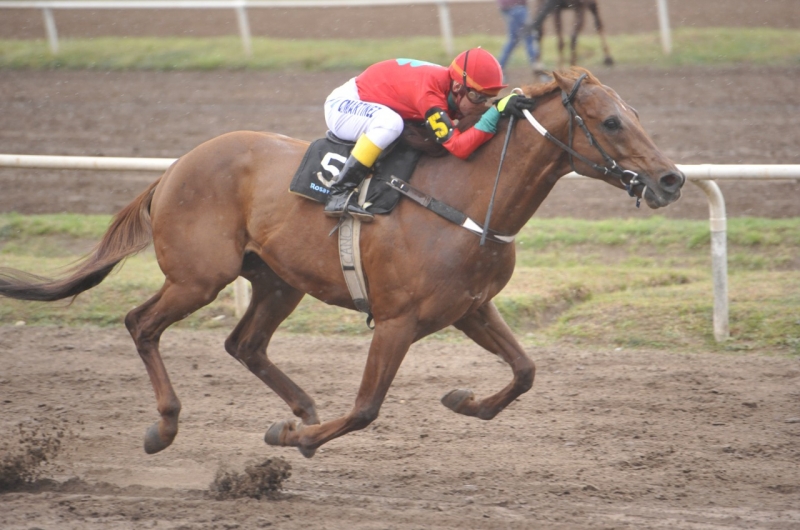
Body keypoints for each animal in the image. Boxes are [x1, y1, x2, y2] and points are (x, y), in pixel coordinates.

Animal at [1, 68, 688, 456]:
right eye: (611, 121)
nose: (673, 179)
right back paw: (168, 427)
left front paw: (463, 400)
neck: (469, 199)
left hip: (278, 280)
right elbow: (364, 409)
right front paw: (298, 441)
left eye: (636, 116)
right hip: (200, 276)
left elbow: (524, 372)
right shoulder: (397, 321)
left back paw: (300, 407)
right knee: (141, 324)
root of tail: (175, 167)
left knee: (244, 344)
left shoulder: (469, 308)